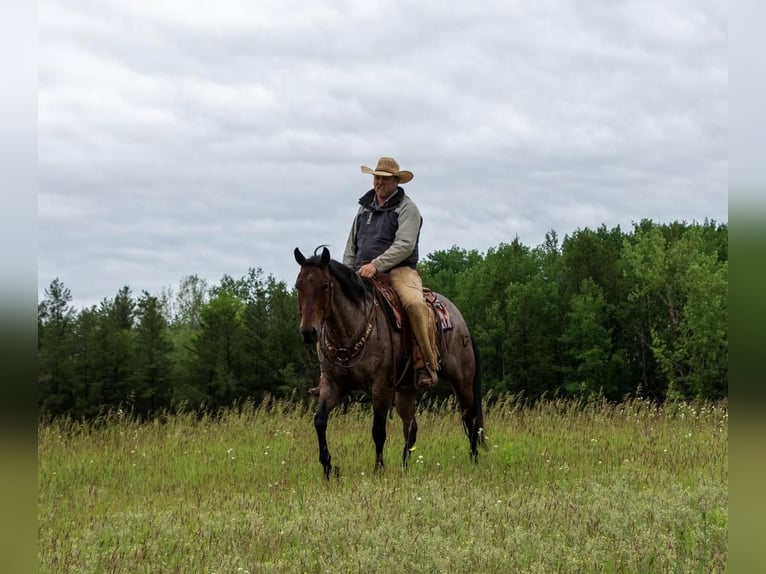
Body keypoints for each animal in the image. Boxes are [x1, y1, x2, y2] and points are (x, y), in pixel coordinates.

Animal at [294, 245, 486, 480]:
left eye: (325, 285)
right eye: (298, 286)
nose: (308, 332)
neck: (349, 330)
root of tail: (460, 321)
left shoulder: (381, 387)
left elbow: (378, 430)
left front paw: (378, 469)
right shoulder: (332, 385)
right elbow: (320, 421)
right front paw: (329, 468)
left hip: (462, 381)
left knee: (470, 420)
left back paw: (474, 462)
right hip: (406, 391)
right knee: (411, 428)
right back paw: (405, 467)